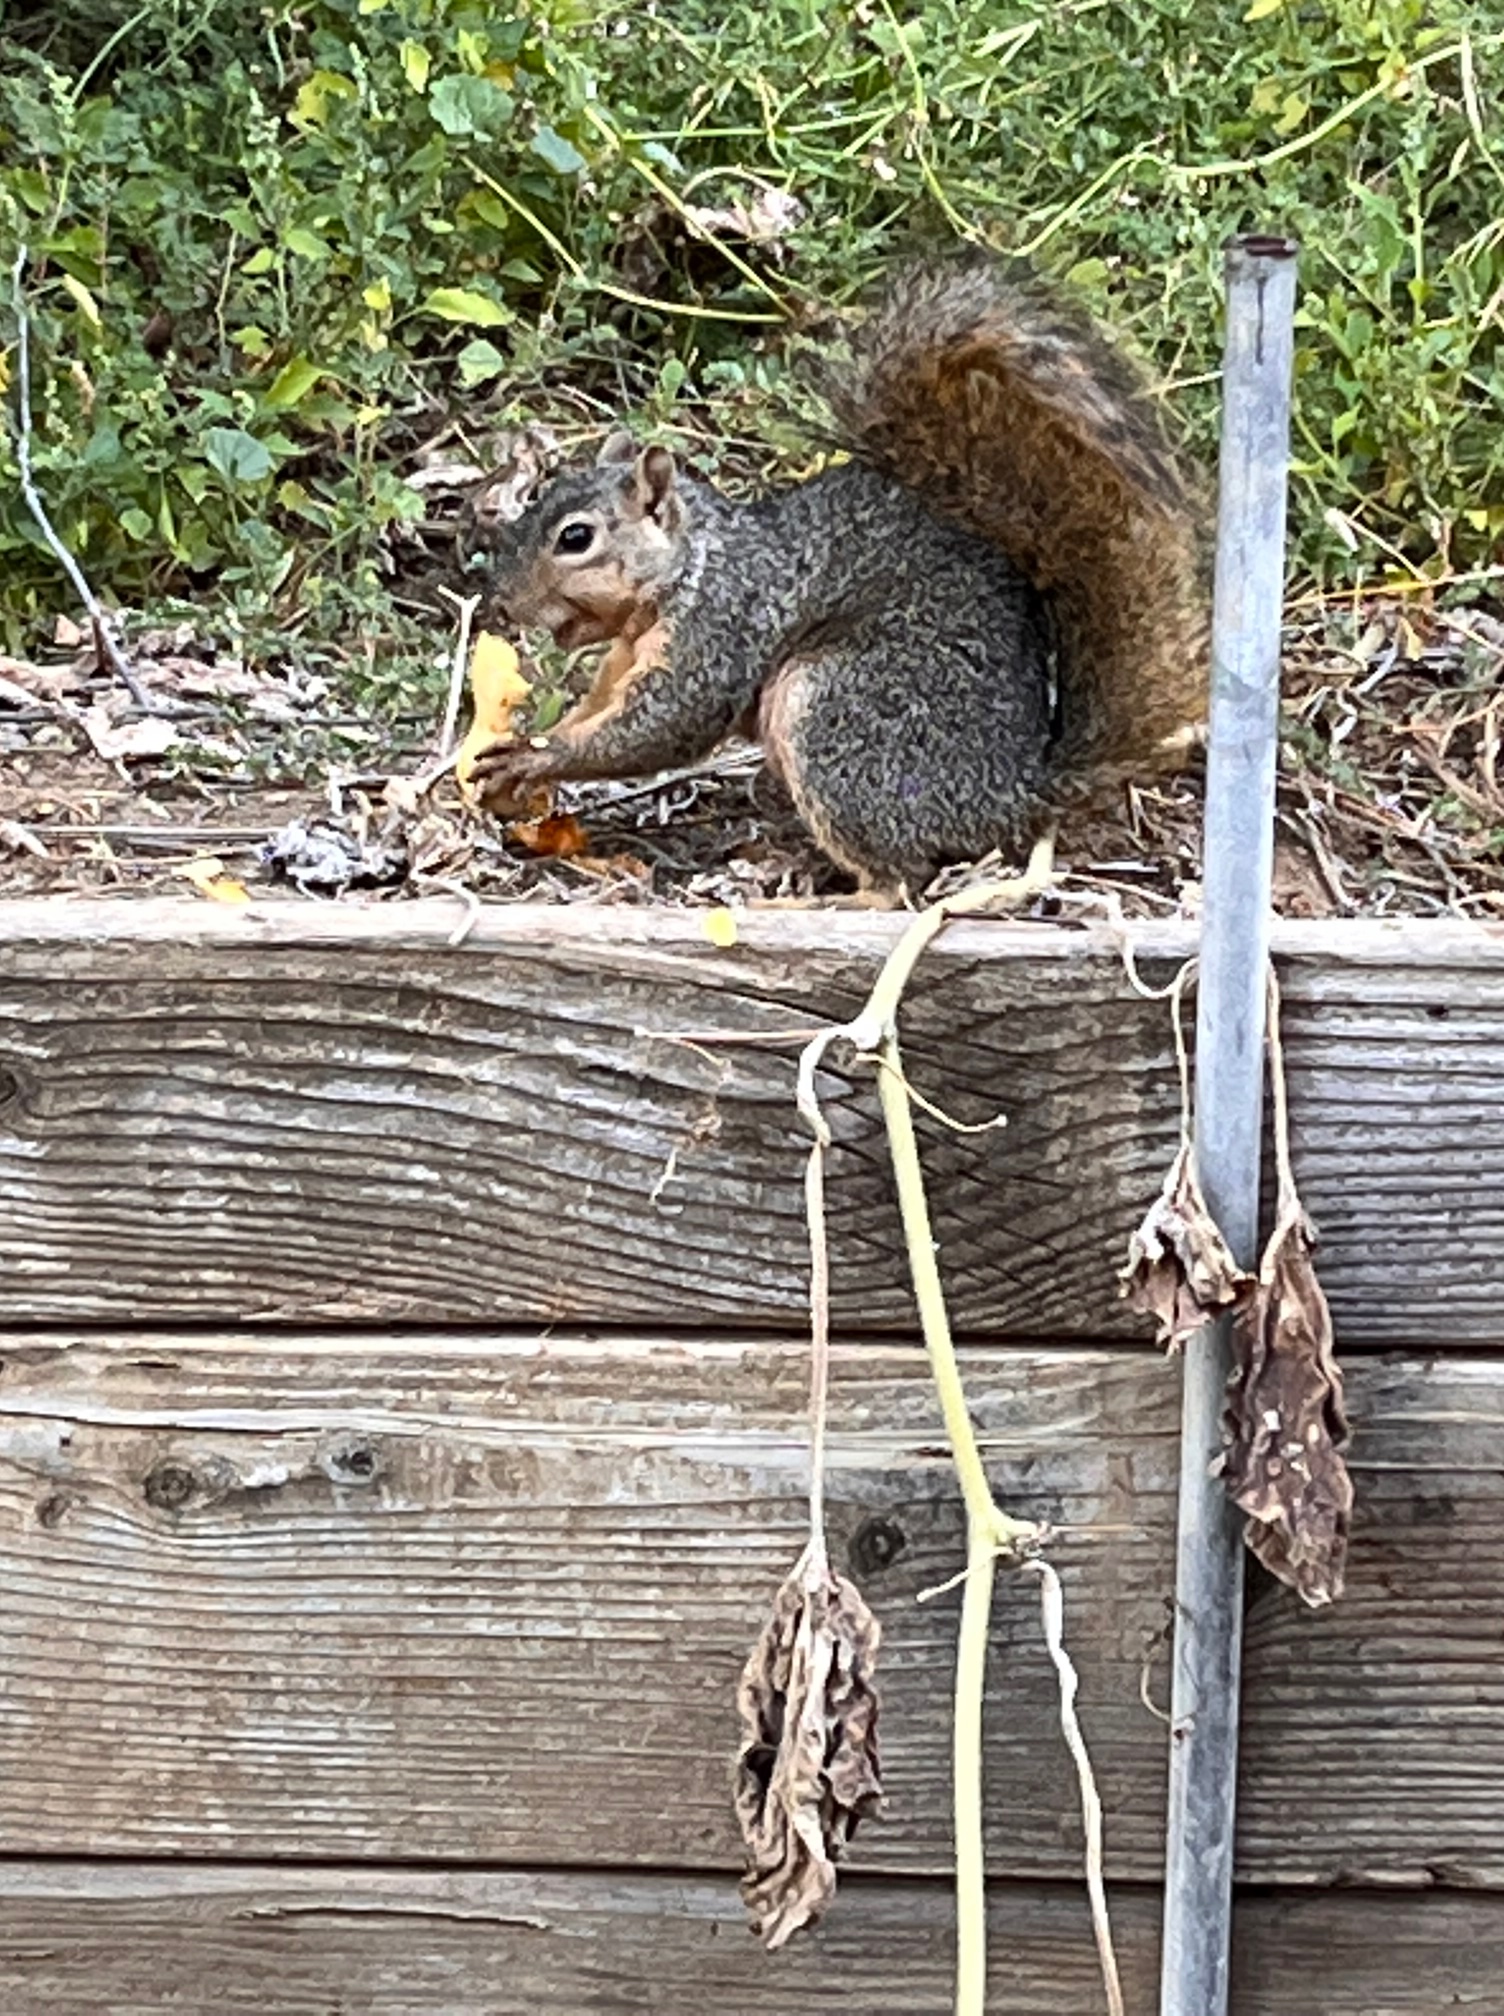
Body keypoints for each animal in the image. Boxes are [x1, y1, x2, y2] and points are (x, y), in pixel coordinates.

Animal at [472, 255, 1206, 892]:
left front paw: (541, 755)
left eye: (576, 538)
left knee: (898, 882)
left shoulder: (717, 630)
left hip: (836, 710)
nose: (501, 602)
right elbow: (599, 709)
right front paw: (526, 754)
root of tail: (1013, 794)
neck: (686, 571)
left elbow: (665, 724)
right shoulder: (626, 658)